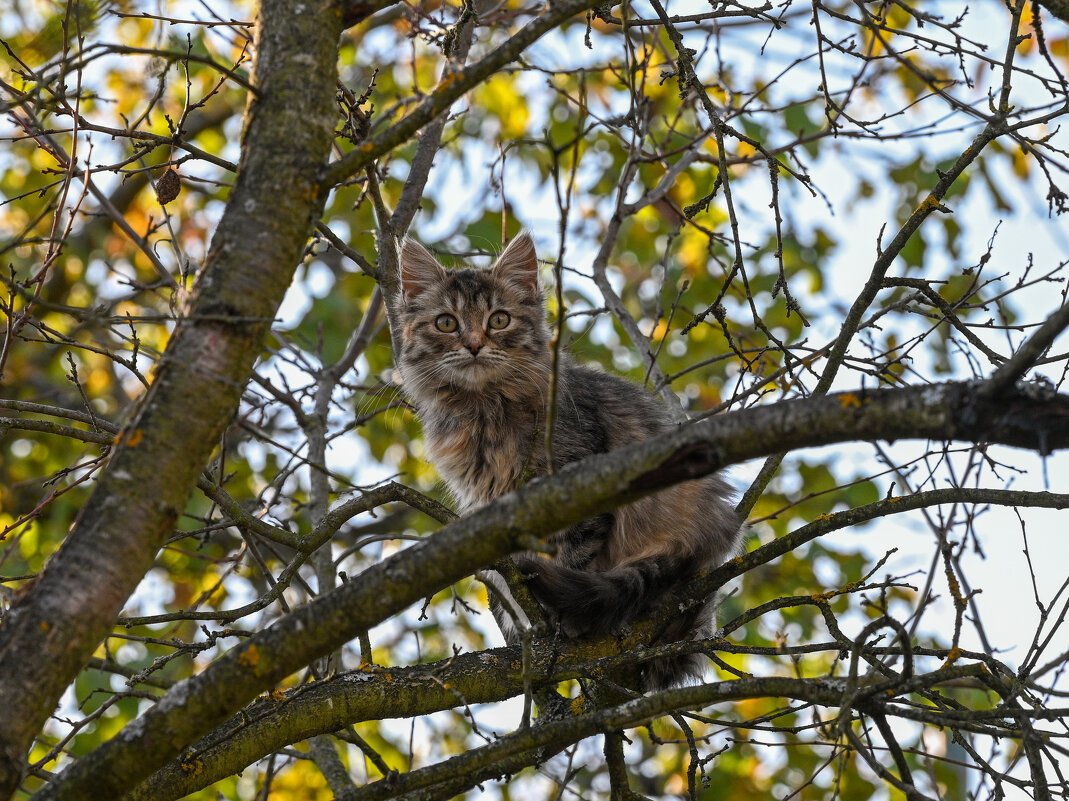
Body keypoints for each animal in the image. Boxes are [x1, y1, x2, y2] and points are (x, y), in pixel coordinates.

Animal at [395, 230, 744, 688]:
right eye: (446, 323)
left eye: (499, 320)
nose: (473, 346)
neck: (485, 407)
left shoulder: (578, 479)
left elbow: (575, 553)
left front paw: (558, 621)